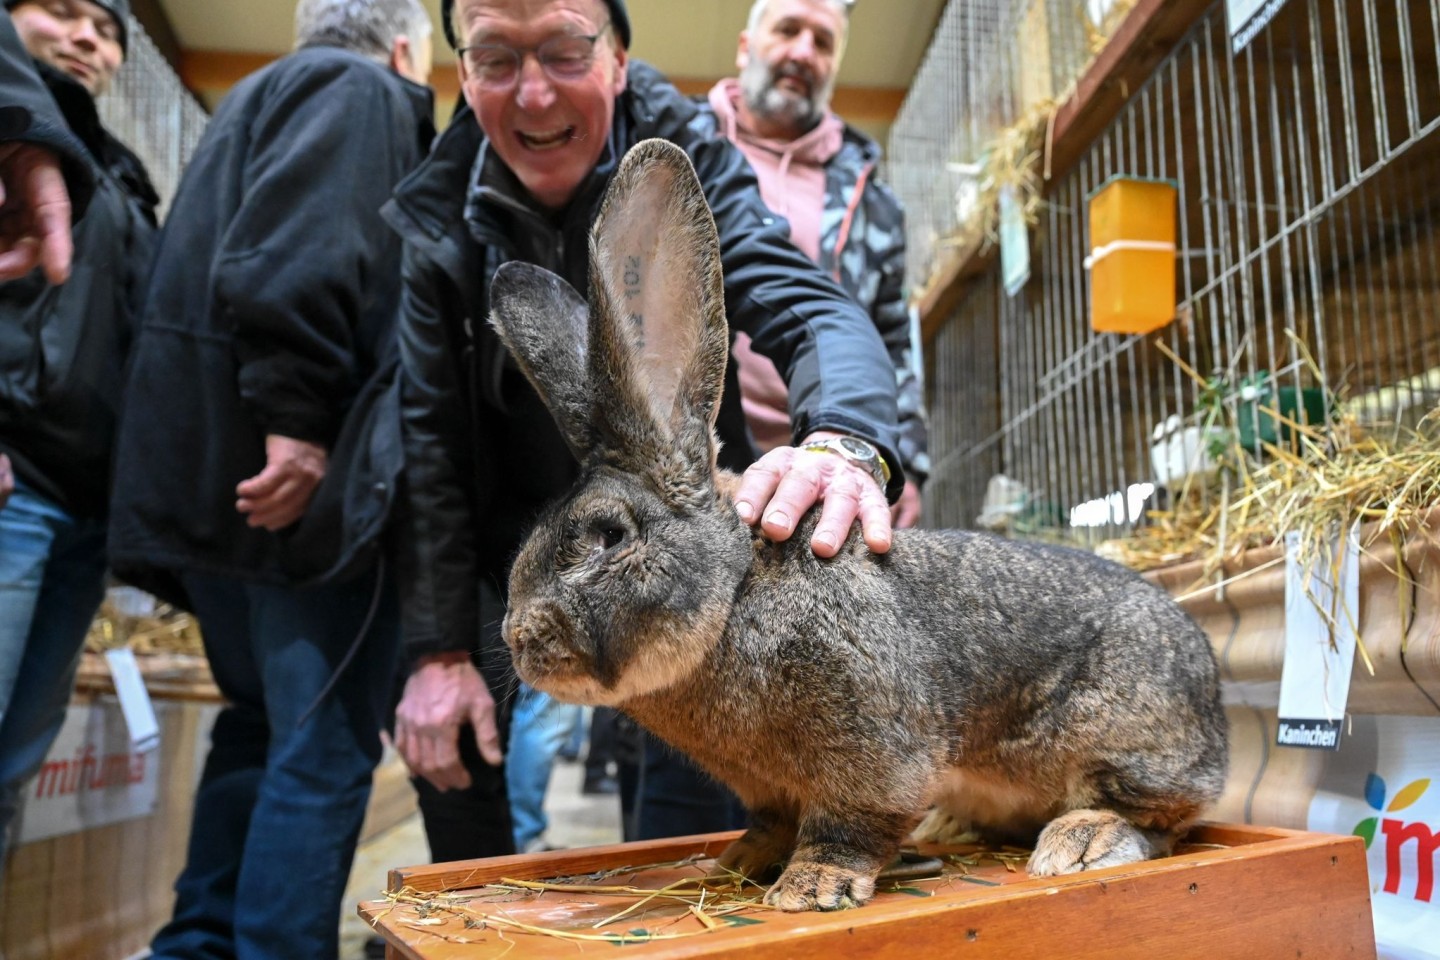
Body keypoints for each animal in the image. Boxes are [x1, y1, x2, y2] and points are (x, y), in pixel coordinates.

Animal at [492, 138, 1226, 915]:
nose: (519, 640)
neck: (736, 597)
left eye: (605, 536)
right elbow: (773, 821)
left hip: (1123, 744)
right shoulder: (766, 786)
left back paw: (1080, 841)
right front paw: (737, 861)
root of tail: (1213, 709)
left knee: (1160, 821)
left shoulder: (869, 744)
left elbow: (854, 820)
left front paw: (809, 888)